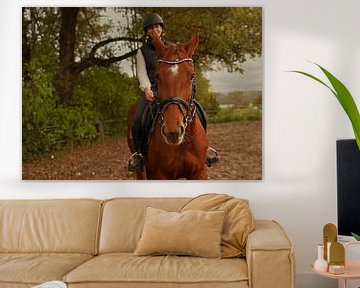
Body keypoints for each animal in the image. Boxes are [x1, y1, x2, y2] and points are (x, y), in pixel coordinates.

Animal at [128, 32, 208, 180]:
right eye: (157, 76)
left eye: (192, 75)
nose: (173, 132)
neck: (183, 144)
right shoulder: (162, 175)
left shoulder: (199, 172)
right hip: (142, 168)